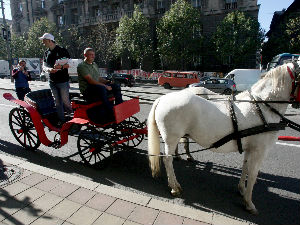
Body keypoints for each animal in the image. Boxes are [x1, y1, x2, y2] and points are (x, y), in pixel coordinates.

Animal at [148, 62, 300, 214]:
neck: (262, 107)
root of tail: (162, 98)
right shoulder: (259, 151)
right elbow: (252, 174)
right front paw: (249, 203)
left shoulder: (250, 149)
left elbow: (245, 167)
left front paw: (242, 190)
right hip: (171, 138)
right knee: (167, 160)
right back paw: (175, 187)